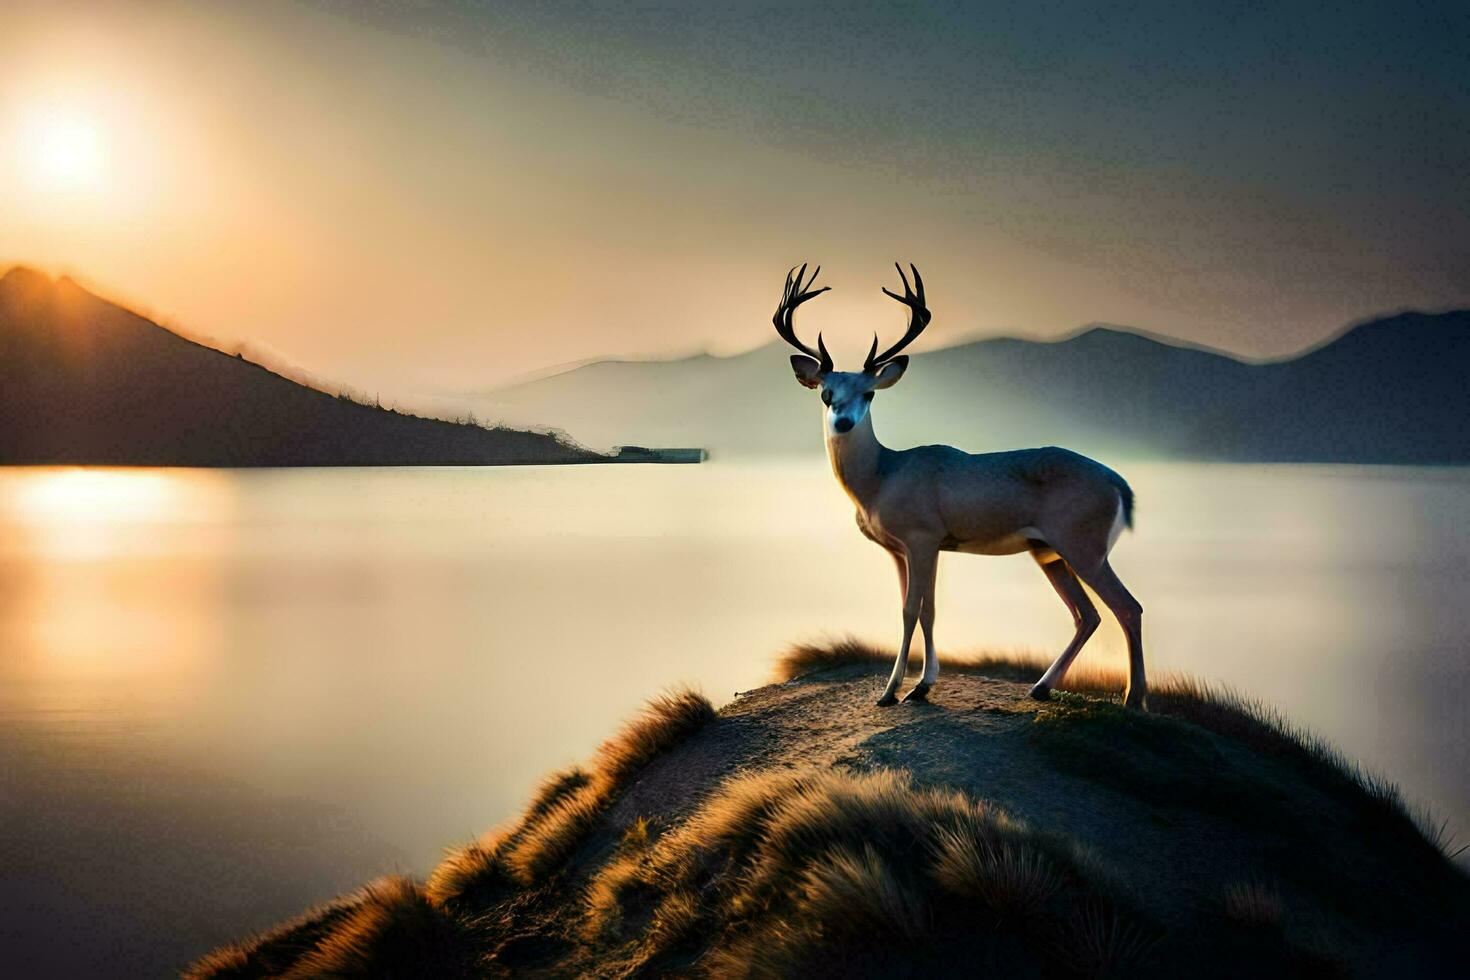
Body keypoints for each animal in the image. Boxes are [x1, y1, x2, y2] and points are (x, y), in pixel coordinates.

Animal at [770, 265, 1146, 714]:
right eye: (827, 393)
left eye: (869, 392)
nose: (843, 422)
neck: (881, 478)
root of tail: (1120, 484)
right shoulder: (900, 548)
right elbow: (916, 609)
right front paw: (915, 686)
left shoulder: (923, 535)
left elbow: (916, 610)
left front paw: (896, 691)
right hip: (1047, 550)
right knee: (1088, 614)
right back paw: (1041, 687)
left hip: (1083, 543)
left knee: (1127, 606)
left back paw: (1134, 700)